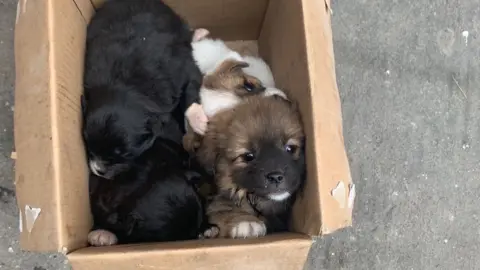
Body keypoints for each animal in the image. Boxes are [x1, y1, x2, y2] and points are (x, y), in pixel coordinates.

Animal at [82, 0, 204, 179]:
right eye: (89, 145)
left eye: (125, 154)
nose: (99, 171)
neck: (128, 86)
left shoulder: (184, 67)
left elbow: (190, 92)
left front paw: (199, 121)